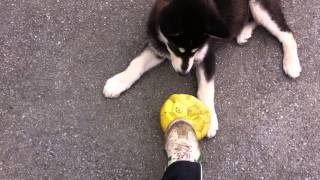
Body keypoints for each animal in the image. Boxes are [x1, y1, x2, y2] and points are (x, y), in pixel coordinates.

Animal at [104, 0, 302, 138]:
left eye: (196, 50)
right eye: (176, 48)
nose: (183, 73)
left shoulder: (207, 56)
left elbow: (206, 89)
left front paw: (210, 119)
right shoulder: (157, 46)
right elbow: (136, 63)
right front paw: (117, 82)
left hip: (260, 8)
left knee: (287, 34)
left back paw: (291, 64)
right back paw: (243, 32)